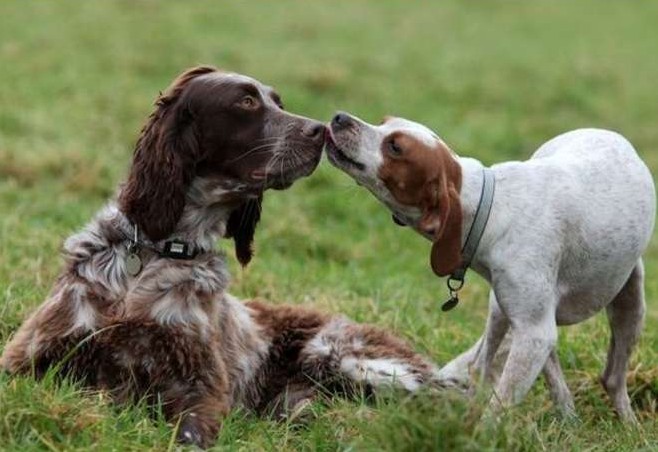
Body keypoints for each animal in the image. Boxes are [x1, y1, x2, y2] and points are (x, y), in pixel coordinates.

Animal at [326, 111, 652, 422]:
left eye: (395, 147)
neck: (490, 209)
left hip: (630, 305)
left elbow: (499, 405)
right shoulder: (532, 328)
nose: (340, 117)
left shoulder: (534, 333)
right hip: (500, 310)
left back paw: (628, 424)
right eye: (382, 122)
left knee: (613, 378)